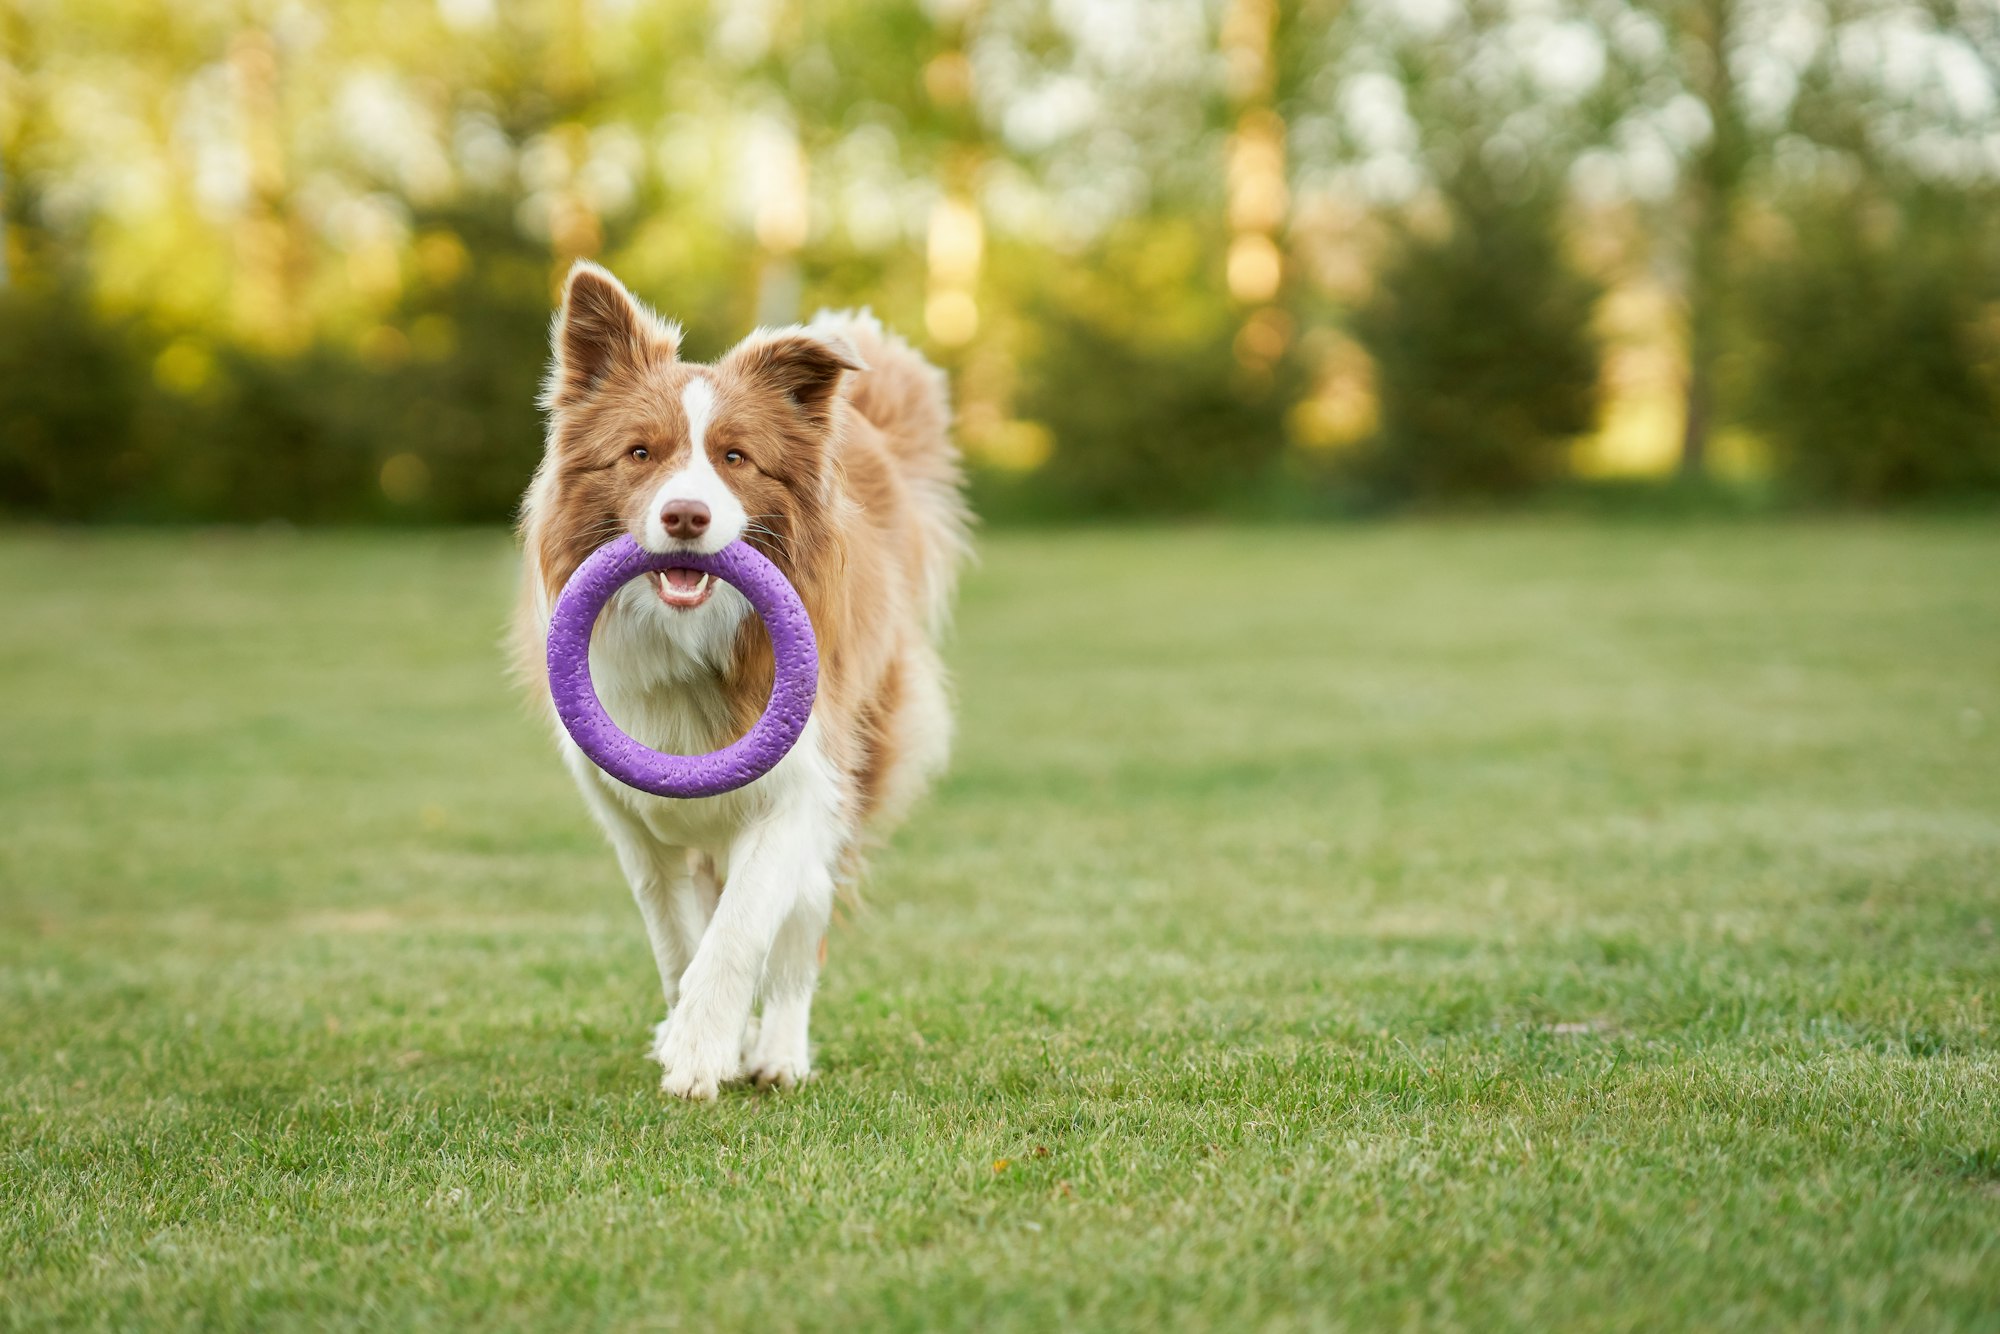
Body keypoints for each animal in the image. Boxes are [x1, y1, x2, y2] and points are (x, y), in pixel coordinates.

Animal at [516, 264, 968, 1104]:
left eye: (735, 457)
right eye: (639, 452)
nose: (686, 517)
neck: (689, 637)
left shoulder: (799, 791)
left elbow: (739, 931)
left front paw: (703, 1053)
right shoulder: (635, 827)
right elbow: (678, 941)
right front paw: (690, 1037)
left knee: (800, 938)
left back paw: (778, 1051)